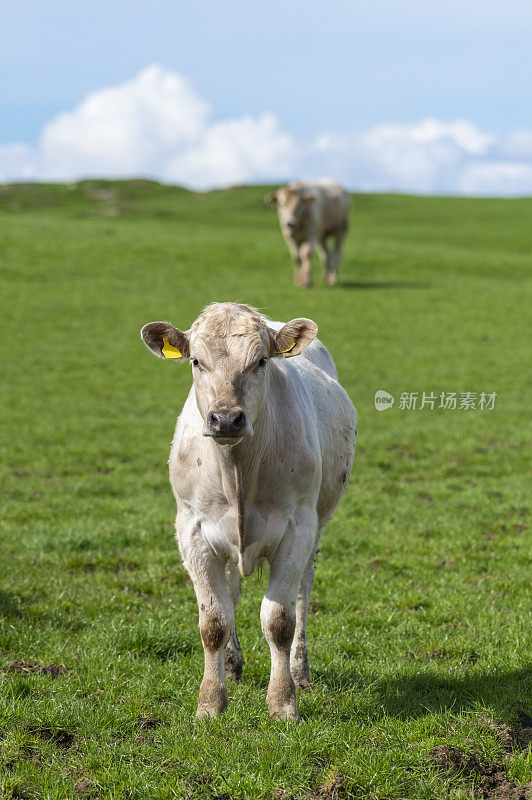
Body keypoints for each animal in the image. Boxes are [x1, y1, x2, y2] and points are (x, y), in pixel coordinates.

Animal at [141, 304, 358, 720]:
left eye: (260, 361)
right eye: (196, 360)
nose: (226, 419)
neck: (238, 471)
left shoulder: (297, 528)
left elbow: (279, 620)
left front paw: (283, 702)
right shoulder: (192, 530)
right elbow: (213, 620)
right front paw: (210, 702)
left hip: (317, 525)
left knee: (303, 593)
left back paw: (300, 670)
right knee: (231, 592)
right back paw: (231, 664)